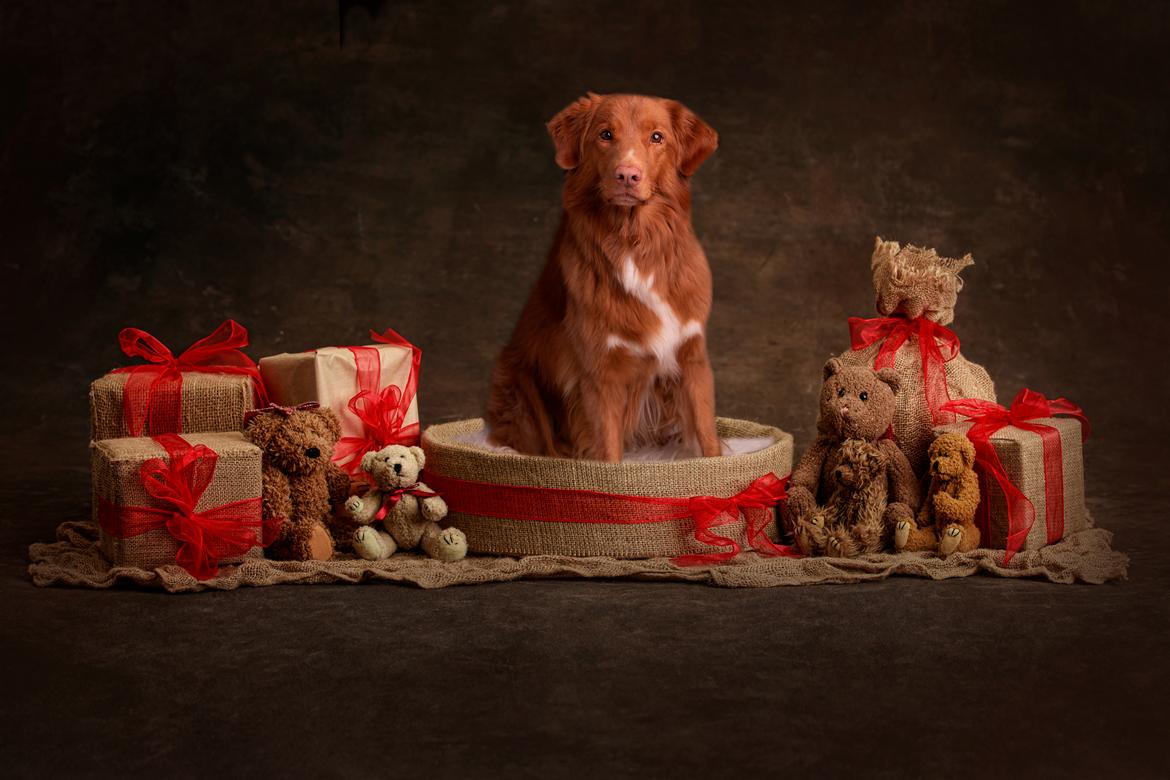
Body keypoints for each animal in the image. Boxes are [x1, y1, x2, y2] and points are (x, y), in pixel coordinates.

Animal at [484, 95, 720, 463]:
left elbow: (708, 439)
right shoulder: (599, 376)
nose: (627, 174)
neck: (633, 240)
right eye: (605, 134)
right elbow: (608, 454)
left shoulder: (691, 358)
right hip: (521, 391)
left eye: (657, 137)